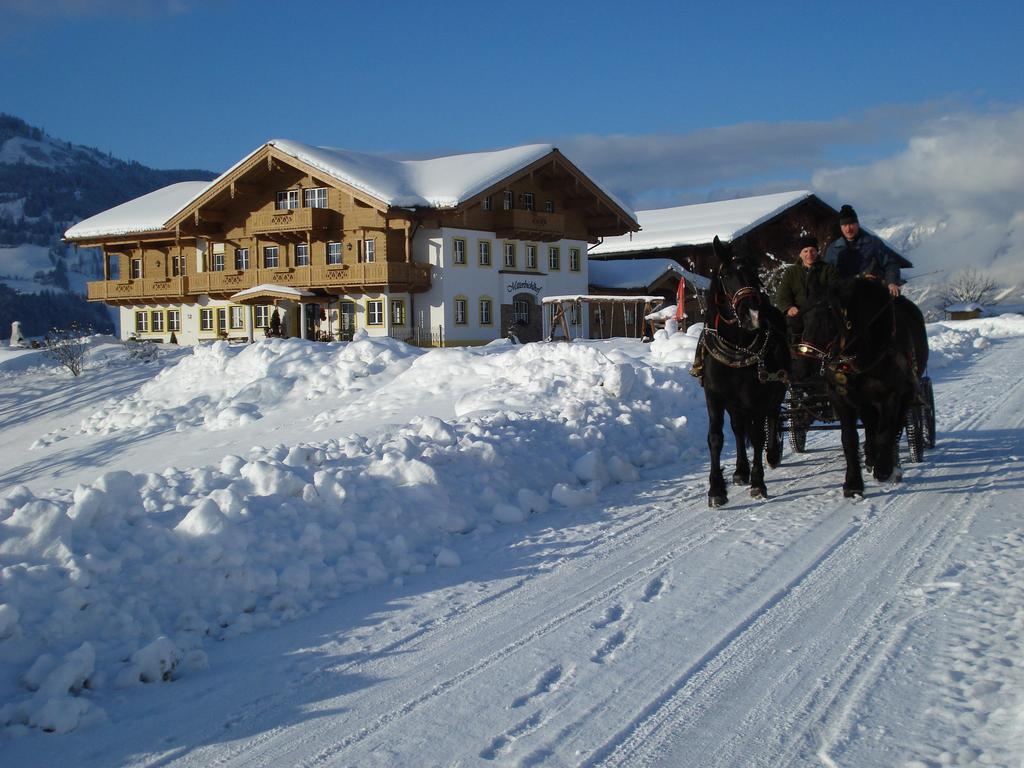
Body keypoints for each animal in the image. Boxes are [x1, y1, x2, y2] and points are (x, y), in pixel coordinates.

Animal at [700, 237, 786, 507]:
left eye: (755, 273)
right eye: (726, 275)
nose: (753, 315)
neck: (736, 346)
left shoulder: (756, 396)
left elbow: (758, 436)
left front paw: (758, 483)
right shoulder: (715, 395)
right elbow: (715, 437)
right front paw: (716, 489)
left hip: (775, 390)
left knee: (772, 417)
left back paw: (772, 454)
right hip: (734, 402)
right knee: (738, 429)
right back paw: (740, 470)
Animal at [794, 280, 933, 495]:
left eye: (829, 319)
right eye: (805, 318)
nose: (802, 369)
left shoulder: (892, 395)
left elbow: (886, 432)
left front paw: (884, 470)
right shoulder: (840, 397)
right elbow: (849, 439)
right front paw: (853, 484)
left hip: (908, 392)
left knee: (897, 424)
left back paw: (891, 464)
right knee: (870, 426)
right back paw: (871, 457)